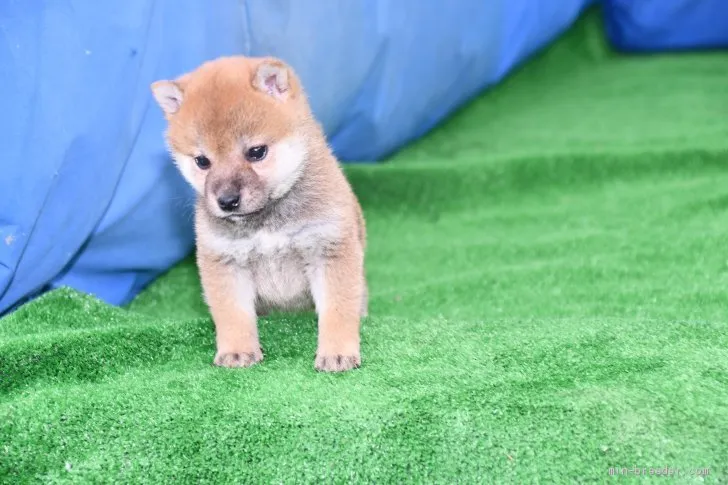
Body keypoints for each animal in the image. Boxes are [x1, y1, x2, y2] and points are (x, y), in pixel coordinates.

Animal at [154, 55, 370, 370]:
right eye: (202, 161)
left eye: (256, 152)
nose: (227, 200)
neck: (267, 221)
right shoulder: (225, 261)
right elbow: (233, 314)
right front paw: (237, 351)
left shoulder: (329, 249)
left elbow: (338, 310)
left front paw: (337, 352)